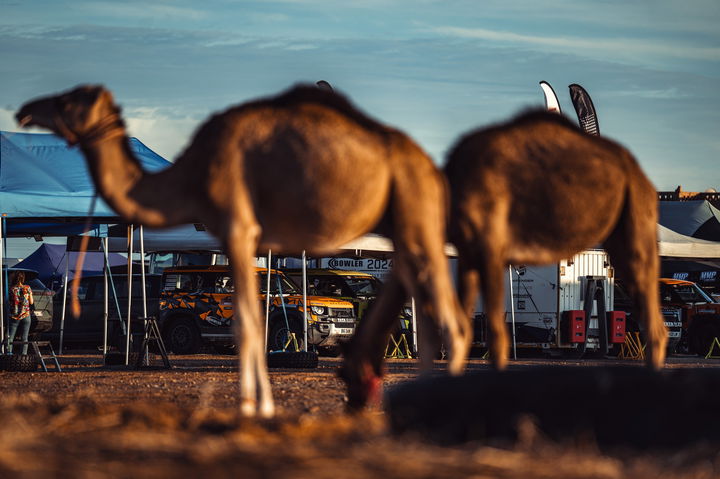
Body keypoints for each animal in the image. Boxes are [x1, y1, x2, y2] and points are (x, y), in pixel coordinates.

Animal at [16, 84, 470, 418]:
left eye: (68, 100)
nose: (24, 110)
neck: (193, 176)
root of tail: (431, 168)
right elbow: (249, 322)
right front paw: (260, 404)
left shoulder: (238, 228)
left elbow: (250, 324)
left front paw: (254, 407)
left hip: (416, 210)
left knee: (451, 321)